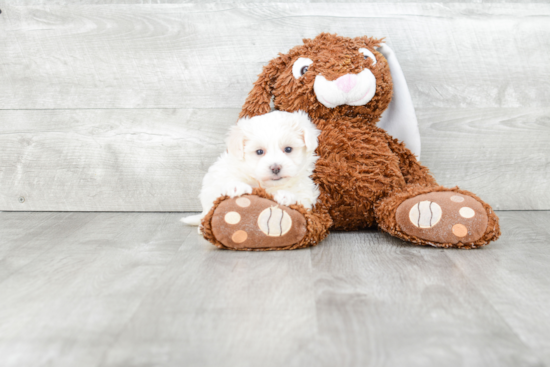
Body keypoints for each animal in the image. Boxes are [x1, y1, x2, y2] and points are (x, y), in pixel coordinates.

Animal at [183, 110, 322, 227]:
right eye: (259, 152)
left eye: (288, 149)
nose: (275, 168)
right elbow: (224, 185)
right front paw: (236, 187)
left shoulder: (306, 193)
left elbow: (301, 201)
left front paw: (286, 195)